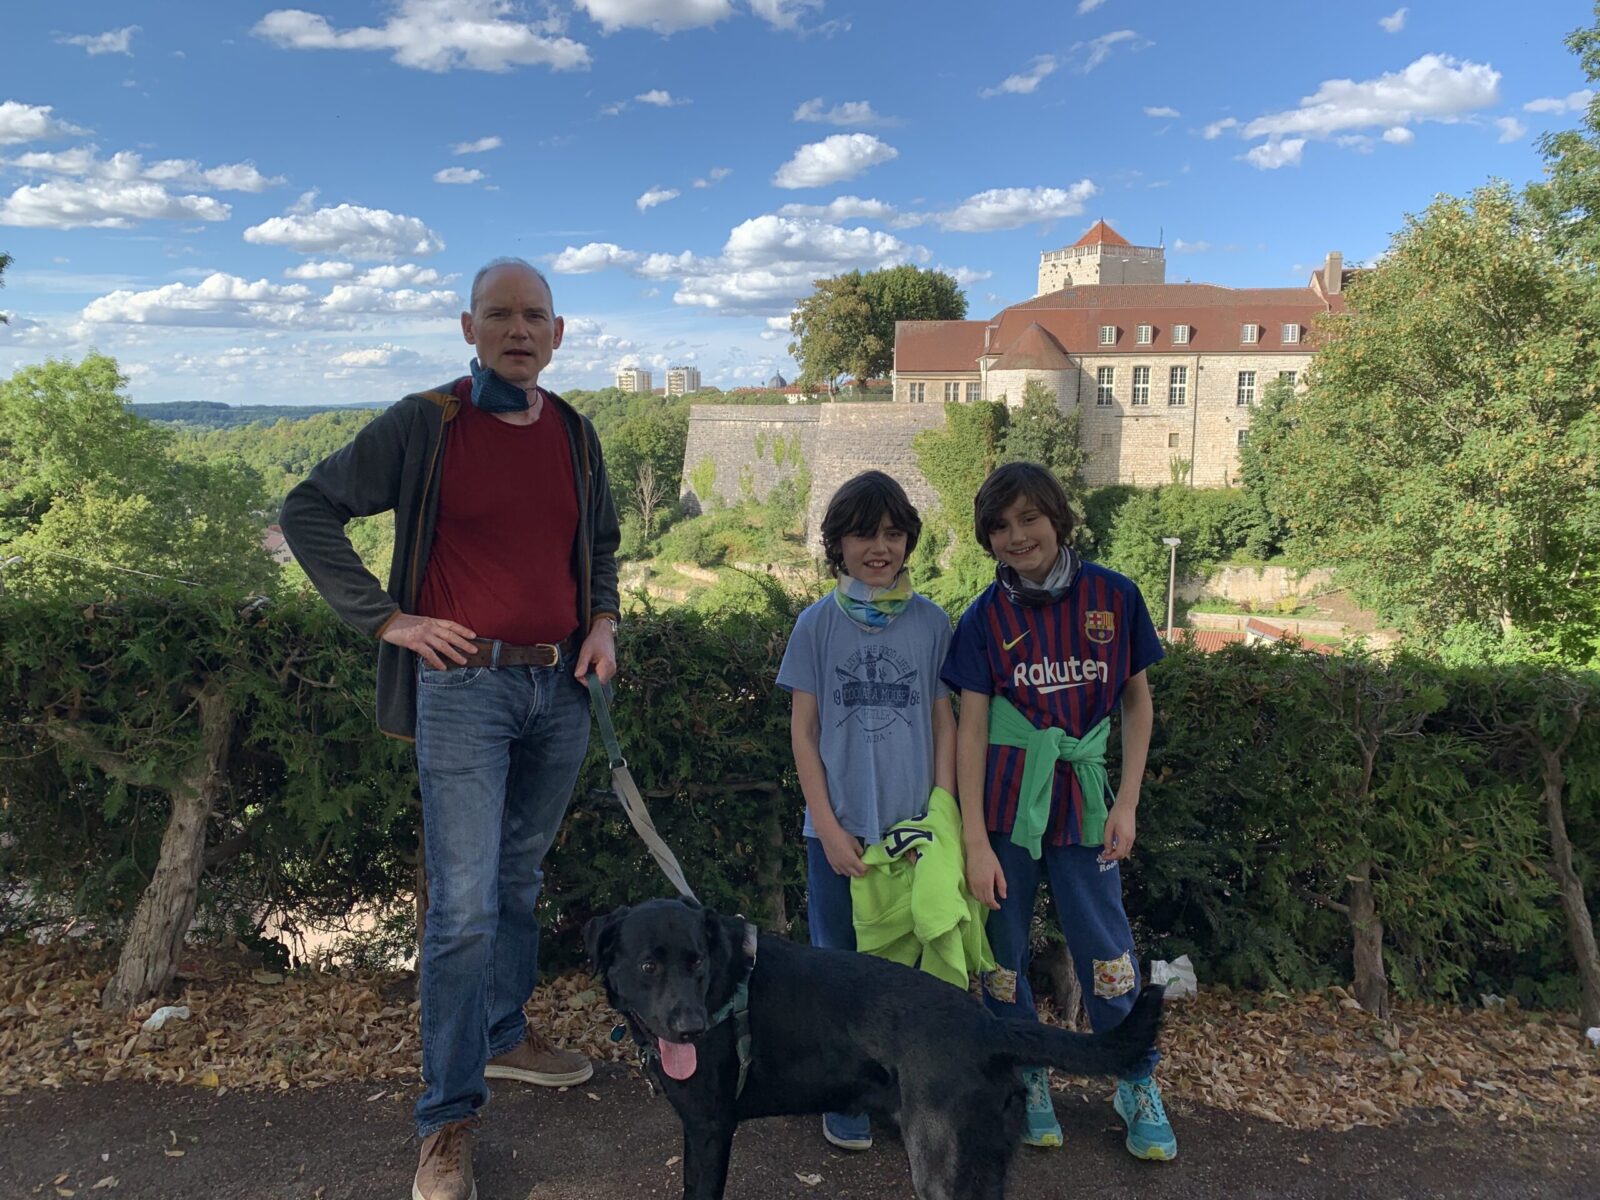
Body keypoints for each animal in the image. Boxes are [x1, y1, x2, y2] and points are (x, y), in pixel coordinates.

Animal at [588, 896, 1164, 1196]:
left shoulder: (709, 1129)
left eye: (698, 963)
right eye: (649, 965)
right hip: (985, 1165)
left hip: (940, 1165)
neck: (723, 989)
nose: (690, 1028)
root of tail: (989, 1027)